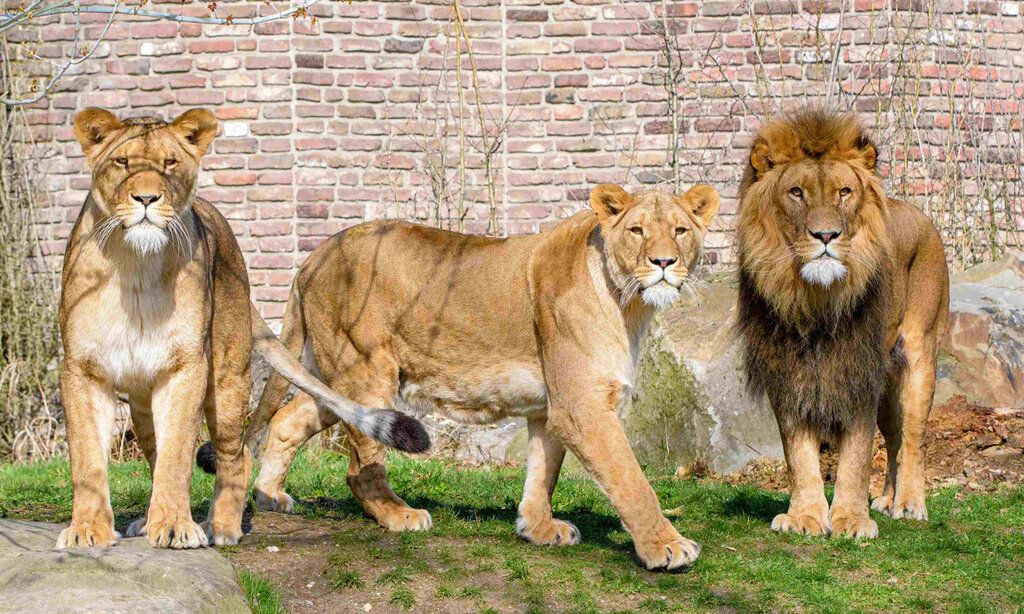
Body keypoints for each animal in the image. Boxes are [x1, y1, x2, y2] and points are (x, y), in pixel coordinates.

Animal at [57, 108, 428, 550]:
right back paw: (148, 521)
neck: (135, 267)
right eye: (122, 162)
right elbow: (87, 461)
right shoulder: (81, 368)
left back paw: (221, 526)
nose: (146, 198)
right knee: (155, 453)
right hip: (143, 402)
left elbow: (177, 456)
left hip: (228, 379)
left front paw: (176, 526)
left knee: (236, 455)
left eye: (169, 163)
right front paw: (88, 529)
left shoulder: (187, 367)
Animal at [240, 184, 719, 570]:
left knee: (289, 416)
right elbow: (631, 480)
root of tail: (314, 256)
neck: (628, 303)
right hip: (365, 368)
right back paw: (399, 515)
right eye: (637, 230)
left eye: (680, 230)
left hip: (337, 373)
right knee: (361, 466)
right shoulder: (581, 405)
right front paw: (666, 547)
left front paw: (538, 528)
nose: (664, 261)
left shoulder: (551, 406)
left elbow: (543, 469)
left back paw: (269, 495)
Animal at [735, 109, 949, 539]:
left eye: (845, 192)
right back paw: (886, 499)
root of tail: (921, 216)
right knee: (895, 438)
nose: (826, 235)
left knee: (913, 438)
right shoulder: (788, 373)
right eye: (796, 192)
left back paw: (909, 504)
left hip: (919, 355)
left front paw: (850, 519)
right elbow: (798, 455)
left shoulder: (859, 370)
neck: (816, 300)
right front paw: (804, 516)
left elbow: (856, 455)